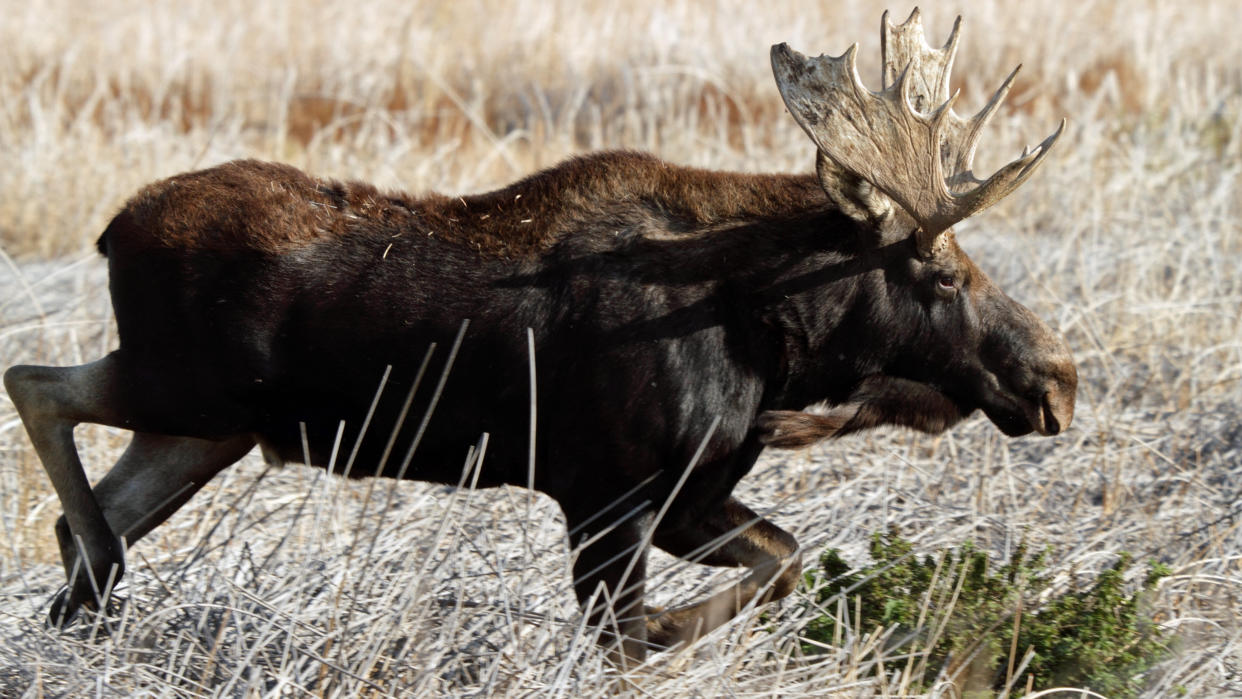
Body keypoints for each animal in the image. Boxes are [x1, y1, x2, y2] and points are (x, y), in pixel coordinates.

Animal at [4, 12, 1073, 665]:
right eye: (942, 270)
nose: (1056, 377)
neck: (774, 345)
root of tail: (111, 226)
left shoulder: (687, 495)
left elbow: (784, 559)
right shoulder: (608, 491)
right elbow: (629, 630)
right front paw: (672, 628)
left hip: (205, 428)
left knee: (90, 490)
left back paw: (85, 595)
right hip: (181, 384)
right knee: (36, 382)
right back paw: (97, 572)